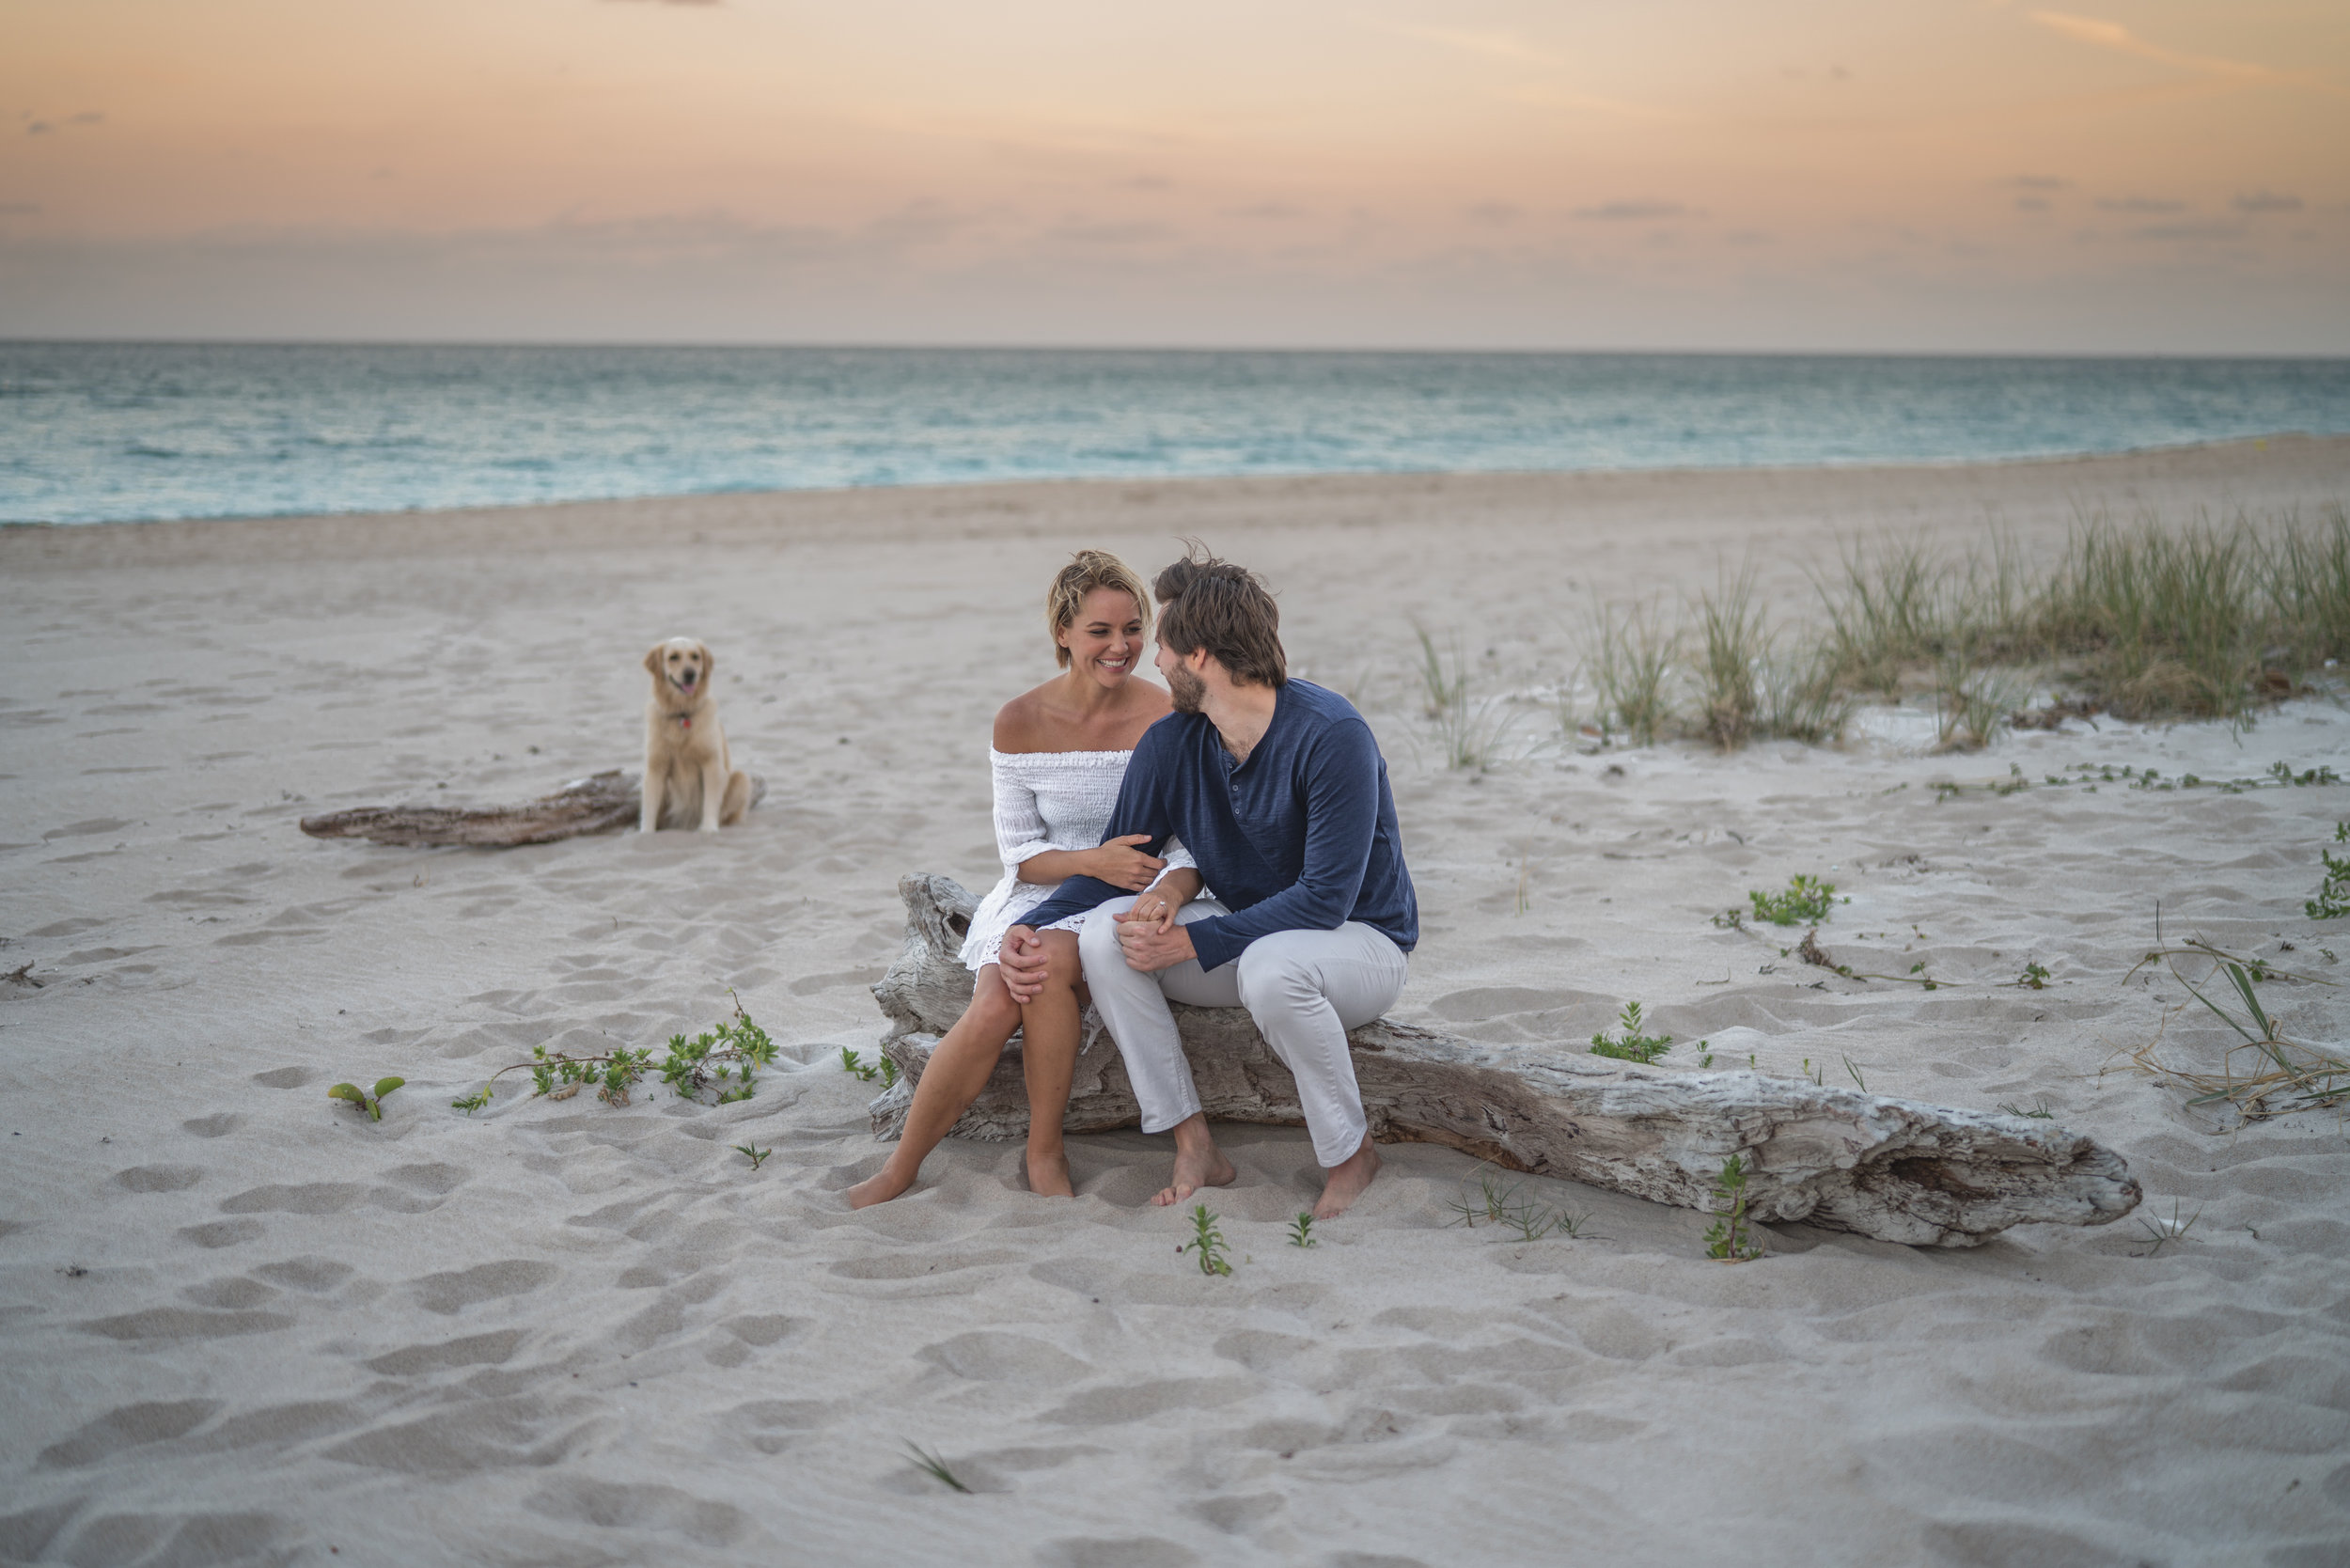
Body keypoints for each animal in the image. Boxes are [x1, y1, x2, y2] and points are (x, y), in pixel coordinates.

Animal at [644, 639, 752, 832]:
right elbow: (648, 809)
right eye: (673, 657)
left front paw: (708, 829)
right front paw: (645, 833)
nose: (690, 674)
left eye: (695, 656)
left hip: (741, 780)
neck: (682, 713)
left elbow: (710, 802)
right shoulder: (655, 767)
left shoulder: (711, 762)